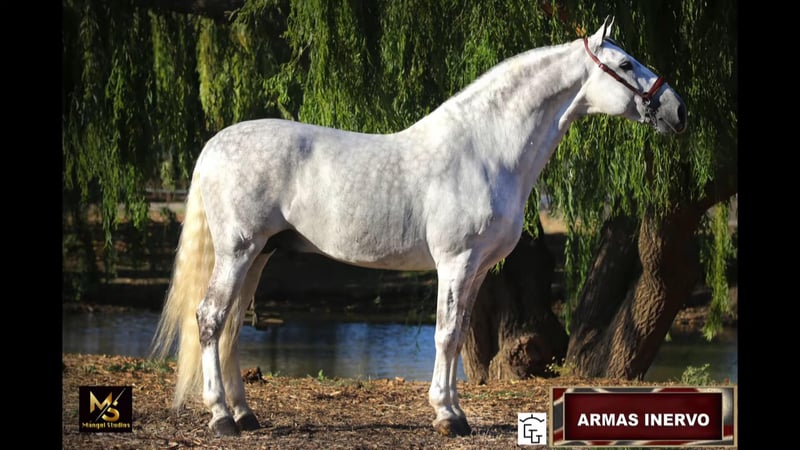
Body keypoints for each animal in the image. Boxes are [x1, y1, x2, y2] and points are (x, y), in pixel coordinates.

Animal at [151, 16, 687, 438]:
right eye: (624, 66)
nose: (678, 110)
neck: (485, 149)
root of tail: (214, 146)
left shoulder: (477, 268)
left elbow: (460, 331)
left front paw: (455, 411)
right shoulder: (456, 261)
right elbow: (446, 334)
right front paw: (447, 417)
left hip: (261, 253)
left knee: (232, 326)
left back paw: (245, 415)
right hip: (238, 251)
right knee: (210, 319)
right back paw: (222, 418)